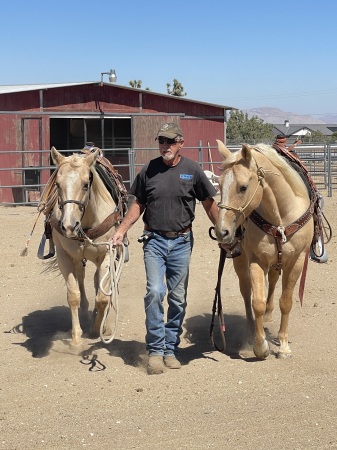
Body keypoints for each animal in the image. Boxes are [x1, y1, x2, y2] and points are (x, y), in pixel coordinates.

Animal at [47, 148, 124, 348]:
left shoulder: (107, 253)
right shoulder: (64, 256)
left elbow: (103, 297)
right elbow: (73, 295)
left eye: (85, 184)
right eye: (57, 184)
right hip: (76, 259)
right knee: (81, 278)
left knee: (98, 280)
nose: (68, 226)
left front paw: (97, 329)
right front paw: (76, 337)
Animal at [214, 141, 314, 358]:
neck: (280, 218)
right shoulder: (256, 259)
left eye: (243, 187)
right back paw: (250, 333)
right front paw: (259, 346)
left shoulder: (297, 260)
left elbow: (286, 302)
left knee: (274, 282)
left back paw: (269, 315)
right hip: (240, 260)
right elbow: (256, 302)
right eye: (219, 184)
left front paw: (283, 346)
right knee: (246, 291)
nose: (222, 231)